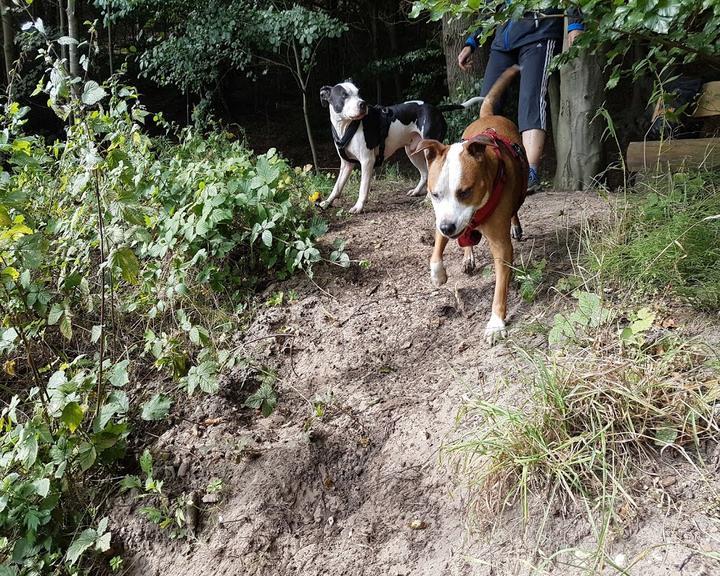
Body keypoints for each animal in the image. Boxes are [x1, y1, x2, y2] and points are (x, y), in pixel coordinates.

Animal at [318, 81, 480, 214]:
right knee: (425, 173)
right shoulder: (346, 164)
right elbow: (337, 186)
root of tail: (436, 108)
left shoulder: (366, 161)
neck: (346, 126)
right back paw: (416, 191)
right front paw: (326, 203)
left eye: (359, 93)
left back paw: (428, 198)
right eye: (344, 95)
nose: (362, 104)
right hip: (412, 152)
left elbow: (363, 188)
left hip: (428, 151)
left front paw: (359, 206)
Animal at [416, 66, 528, 346]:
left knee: (515, 208)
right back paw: (468, 256)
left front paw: (496, 323)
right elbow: (436, 249)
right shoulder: (442, 217)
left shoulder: (500, 245)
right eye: (434, 194)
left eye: (465, 191)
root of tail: (489, 116)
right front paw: (438, 274)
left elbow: (500, 285)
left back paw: (515, 225)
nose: (448, 227)